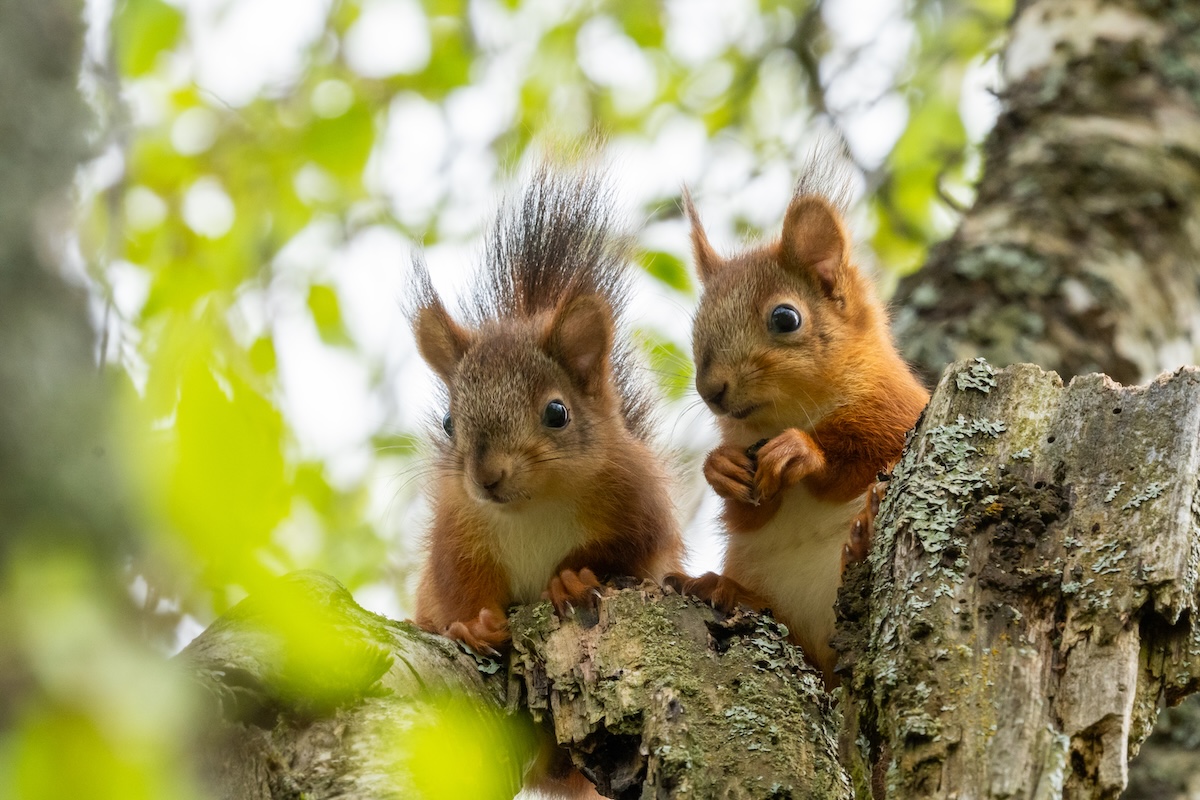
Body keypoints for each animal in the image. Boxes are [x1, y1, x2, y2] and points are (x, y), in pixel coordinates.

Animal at [408, 163, 684, 657]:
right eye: (448, 422)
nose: (486, 477)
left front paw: (570, 578)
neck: (534, 507)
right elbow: (457, 583)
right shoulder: (458, 528)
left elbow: (624, 552)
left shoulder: (641, 506)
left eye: (558, 413)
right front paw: (472, 626)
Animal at [668, 172, 929, 687]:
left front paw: (800, 451)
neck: (786, 416)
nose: (711, 390)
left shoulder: (899, 411)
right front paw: (720, 468)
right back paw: (719, 586)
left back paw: (861, 540)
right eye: (697, 326)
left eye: (786, 318)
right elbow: (747, 514)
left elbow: (862, 455)